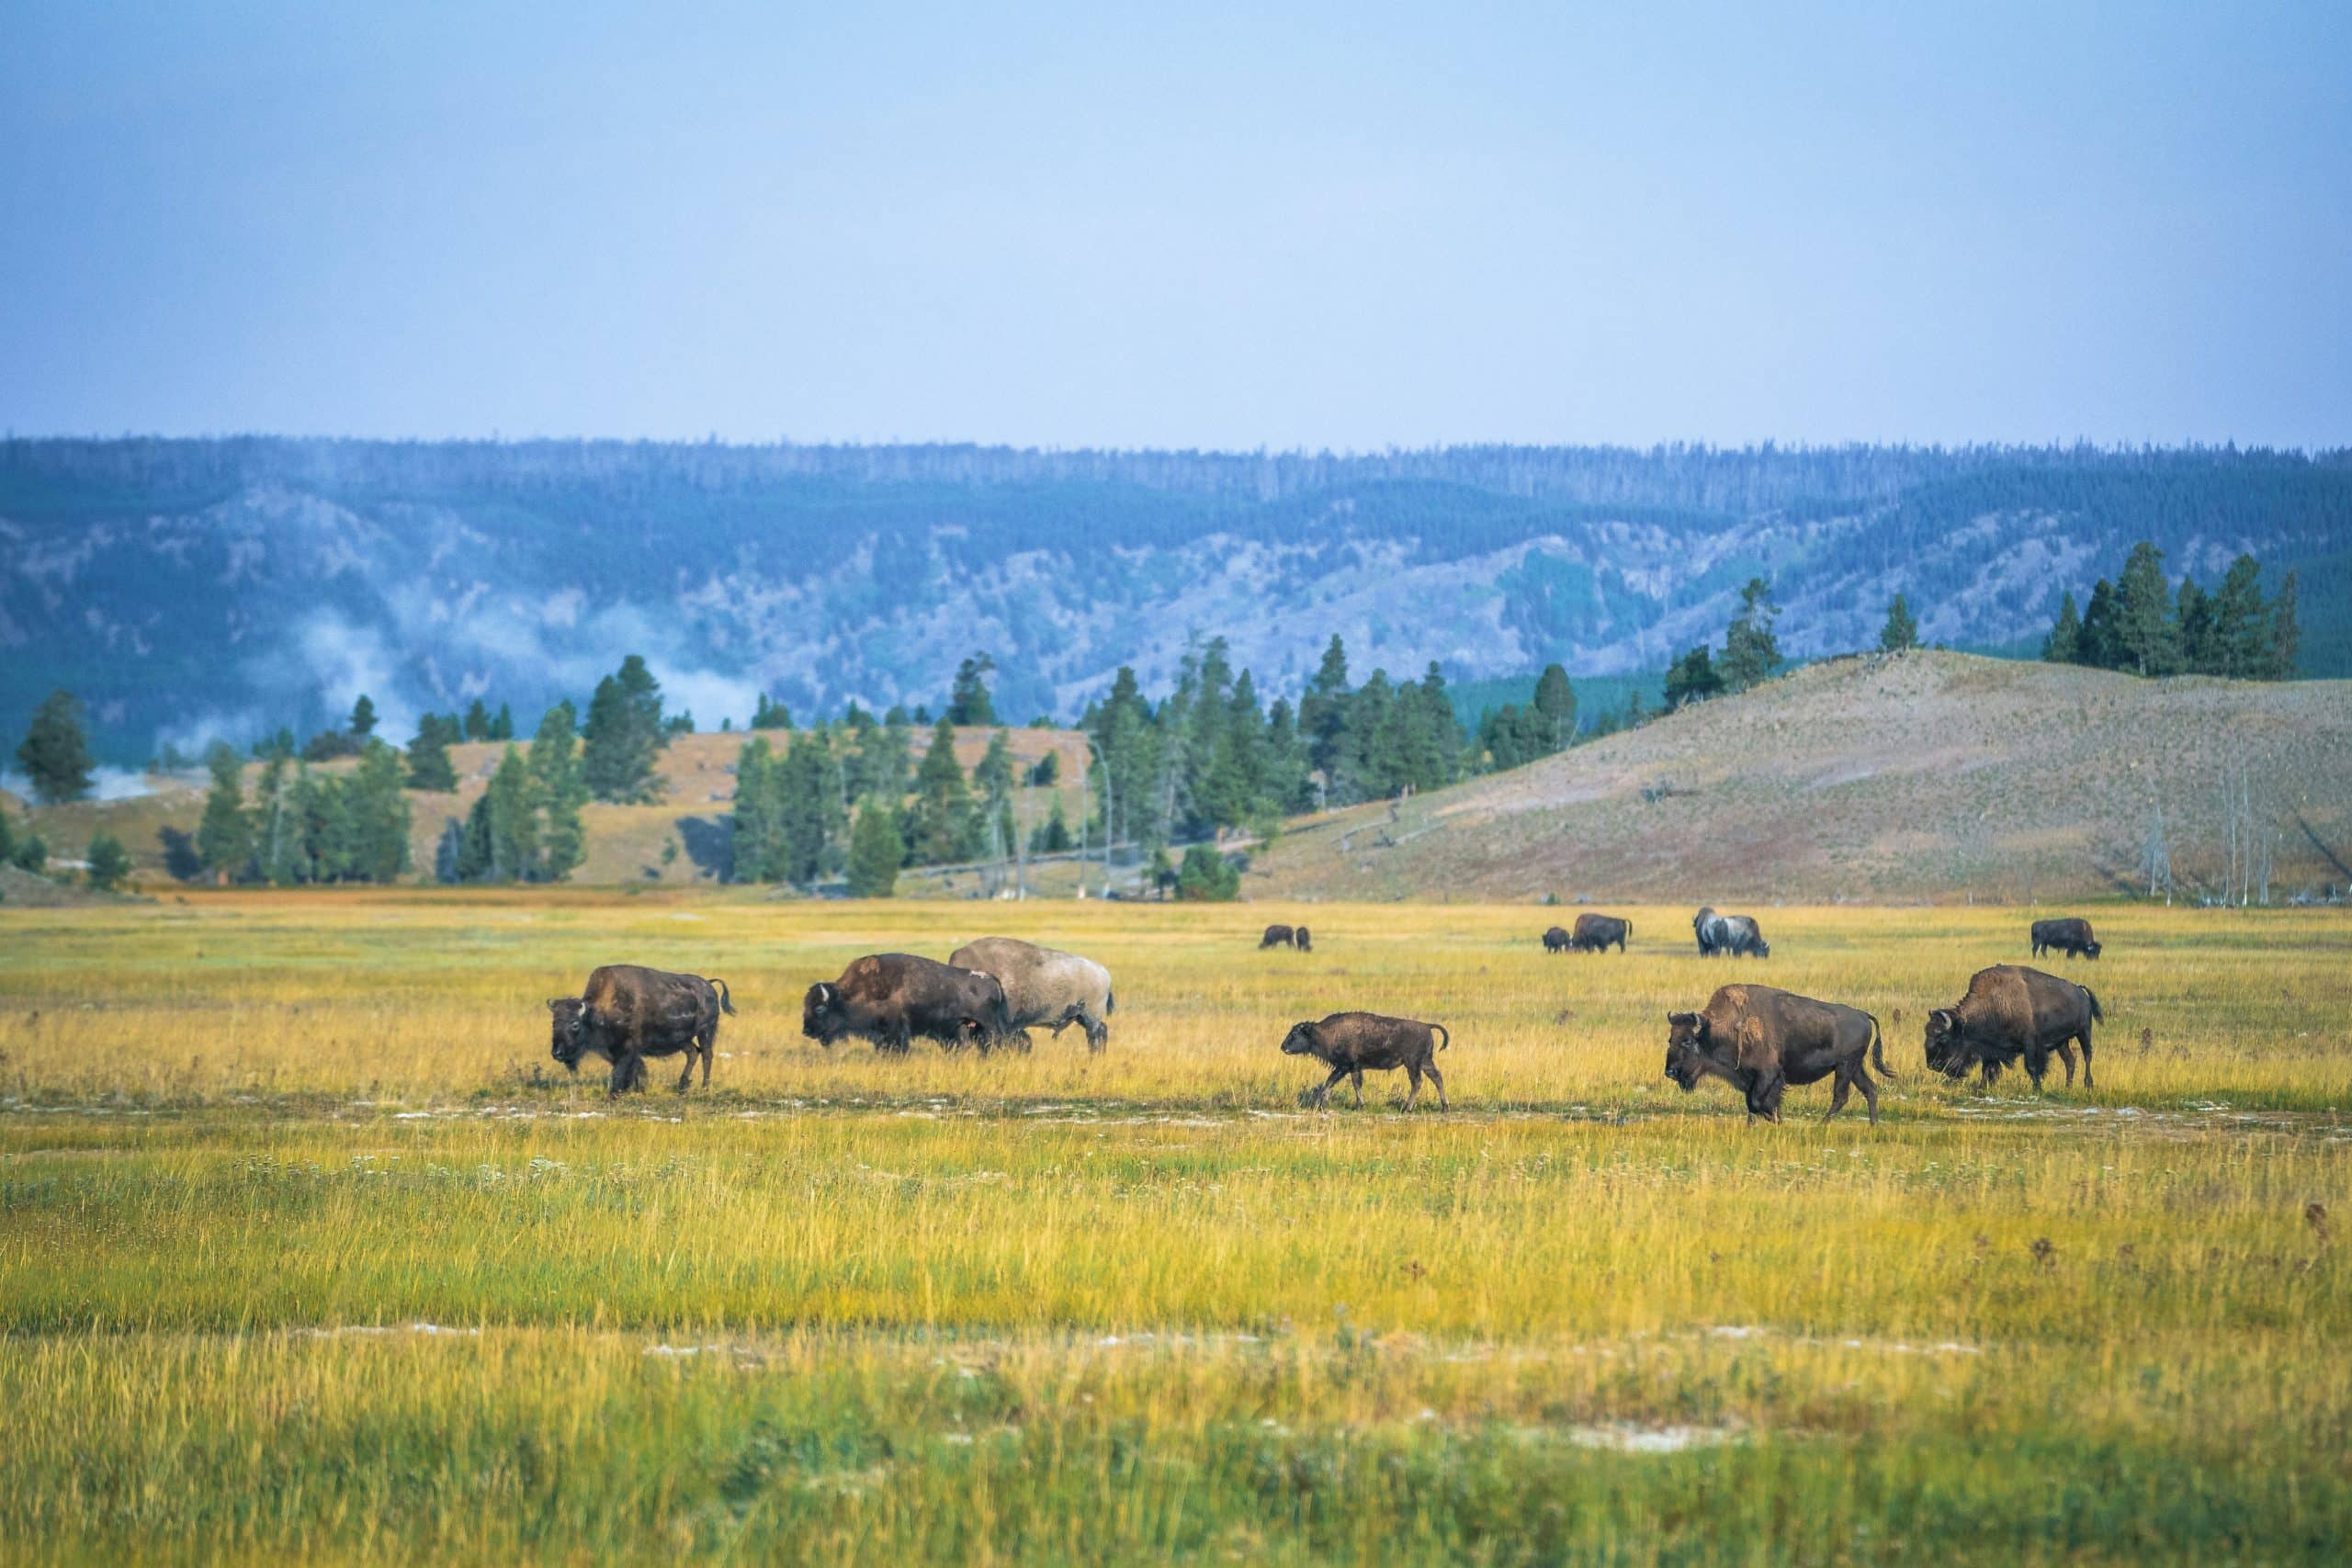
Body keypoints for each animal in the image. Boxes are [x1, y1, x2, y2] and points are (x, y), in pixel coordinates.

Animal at [547, 964, 734, 1096]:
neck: (597, 1010)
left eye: (575, 1024)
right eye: (554, 1023)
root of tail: (709, 986)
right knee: (693, 1052)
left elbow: (622, 1069)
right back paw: (682, 1086)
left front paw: (616, 1092)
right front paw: (638, 1088)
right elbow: (636, 1067)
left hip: (706, 1031)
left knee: (707, 1055)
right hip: (682, 1040)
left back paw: (704, 1087)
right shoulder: (614, 1050)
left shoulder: (628, 1047)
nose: (557, 1053)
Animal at [803, 953, 1011, 1054]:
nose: (806, 1031)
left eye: (819, 1008)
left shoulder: (896, 1030)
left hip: (990, 1026)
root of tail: (992, 979)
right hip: (972, 1028)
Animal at [1281, 1011, 1450, 1110]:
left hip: (1413, 1064)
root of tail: (1427, 1026)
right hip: (1425, 1062)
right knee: (1437, 1078)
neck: (1327, 1032)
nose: (1283, 1047)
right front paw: (1359, 1105)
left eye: (1295, 1034)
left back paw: (1406, 1108)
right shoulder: (1355, 1068)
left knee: (1417, 1082)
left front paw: (1321, 1104)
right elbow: (1356, 1084)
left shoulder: (1344, 1066)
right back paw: (1445, 1107)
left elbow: (1329, 1082)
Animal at [1664, 983, 1890, 1123]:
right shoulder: (1751, 1078)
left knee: (1841, 1096)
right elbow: (1751, 1104)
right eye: (1670, 1039)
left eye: (1687, 1040)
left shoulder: (1768, 1074)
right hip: (1855, 1067)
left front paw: (1778, 1120)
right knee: (1870, 1089)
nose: (1670, 1072)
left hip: (1845, 1066)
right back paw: (1873, 1124)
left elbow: (1758, 1102)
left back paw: (1821, 1125)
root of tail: (1863, 1014)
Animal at [1925, 965, 2101, 1090]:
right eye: (1927, 1034)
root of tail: (2080, 990)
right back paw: (2068, 1087)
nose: (1932, 1065)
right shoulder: (1990, 1048)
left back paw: (2088, 1085)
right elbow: (1987, 1069)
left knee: (2087, 1056)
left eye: (1943, 1038)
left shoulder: (2029, 1043)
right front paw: (1982, 1087)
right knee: (2070, 1060)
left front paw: (2037, 1089)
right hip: (2062, 1042)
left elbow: (2032, 1067)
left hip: (2084, 1032)